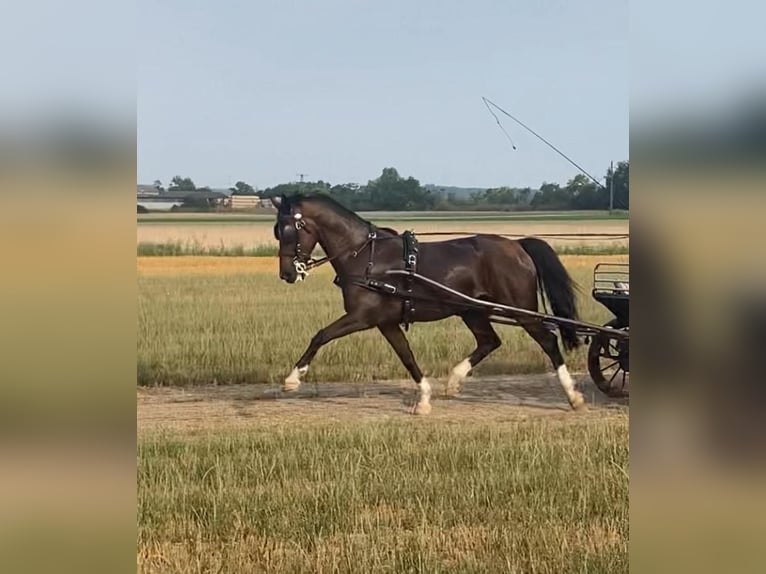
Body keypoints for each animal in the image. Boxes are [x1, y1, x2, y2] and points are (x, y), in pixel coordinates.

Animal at [272, 194, 584, 414]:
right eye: (277, 231)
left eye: (288, 230)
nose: (287, 274)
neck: (365, 257)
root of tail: (516, 244)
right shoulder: (386, 322)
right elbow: (406, 356)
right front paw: (423, 398)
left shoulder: (362, 316)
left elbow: (321, 335)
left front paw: (292, 379)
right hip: (472, 310)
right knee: (489, 341)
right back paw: (453, 381)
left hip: (520, 309)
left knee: (548, 340)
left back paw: (572, 395)